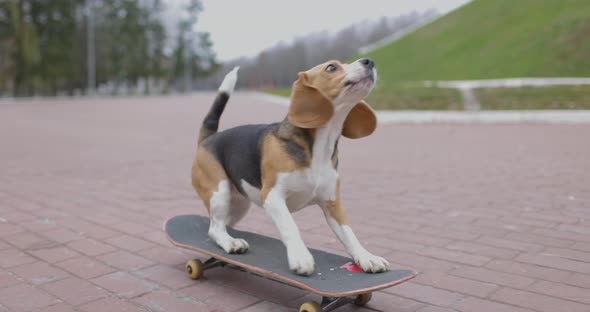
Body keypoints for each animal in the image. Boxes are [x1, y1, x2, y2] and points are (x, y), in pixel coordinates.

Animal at [192, 58, 390, 276]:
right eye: (331, 67)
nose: (369, 61)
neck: (320, 145)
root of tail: (209, 139)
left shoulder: (333, 203)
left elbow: (349, 234)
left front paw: (366, 257)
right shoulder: (272, 196)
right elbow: (290, 226)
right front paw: (301, 257)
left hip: (238, 205)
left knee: (219, 224)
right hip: (219, 192)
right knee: (214, 229)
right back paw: (231, 243)